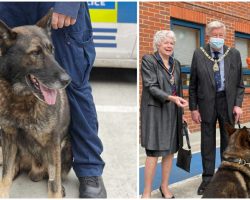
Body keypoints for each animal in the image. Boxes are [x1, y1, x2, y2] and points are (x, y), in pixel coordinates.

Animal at [0, 11, 72, 198]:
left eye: (51, 50)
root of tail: (34, 170)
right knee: (11, 168)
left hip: (66, 149)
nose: (67, 80)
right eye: (35, 53)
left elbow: (53, 185)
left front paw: (57, 191)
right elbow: (5, 178)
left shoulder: (53, 143)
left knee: (54, 176)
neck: (22, 98)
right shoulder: (8, 137)